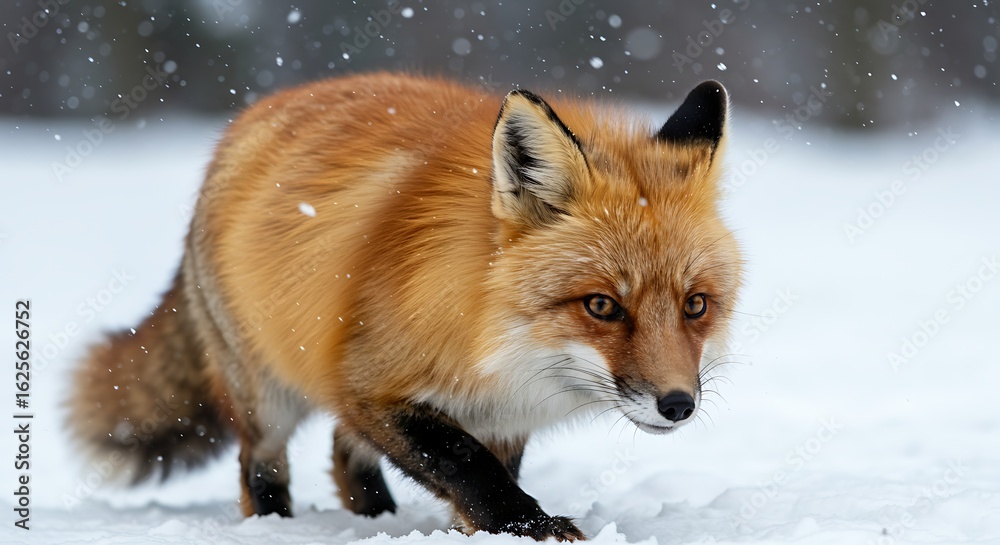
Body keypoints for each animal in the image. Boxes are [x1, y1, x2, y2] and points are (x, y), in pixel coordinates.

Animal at [68, 72, 743, 541]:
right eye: (601, 305)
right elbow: (467, 465)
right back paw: (278, 525)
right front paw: (529, 529)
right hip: (268, 394)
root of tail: (244, 122)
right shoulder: (367, 386)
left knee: (342, 455)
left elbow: (483, 472)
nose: (678, 405)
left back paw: (375, 520)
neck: (497, 344)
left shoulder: (504, 418)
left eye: (695, 305)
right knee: (261, 467)